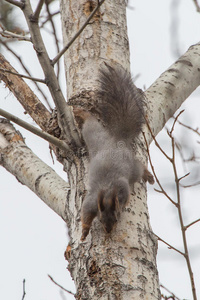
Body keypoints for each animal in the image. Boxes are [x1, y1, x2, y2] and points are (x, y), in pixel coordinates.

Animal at [73, 63, 155, 241]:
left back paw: (147, 175)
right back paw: (82, 113)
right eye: (101, 219)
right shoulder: (91, 202)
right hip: (94, 136)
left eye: (117, 218)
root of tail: (117, 141)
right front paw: (84, 232)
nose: (109, 230)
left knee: (139, 167)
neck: (107, 191)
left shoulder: (122, 188)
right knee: (90, 123)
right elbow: (85, 215)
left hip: (129, 165)